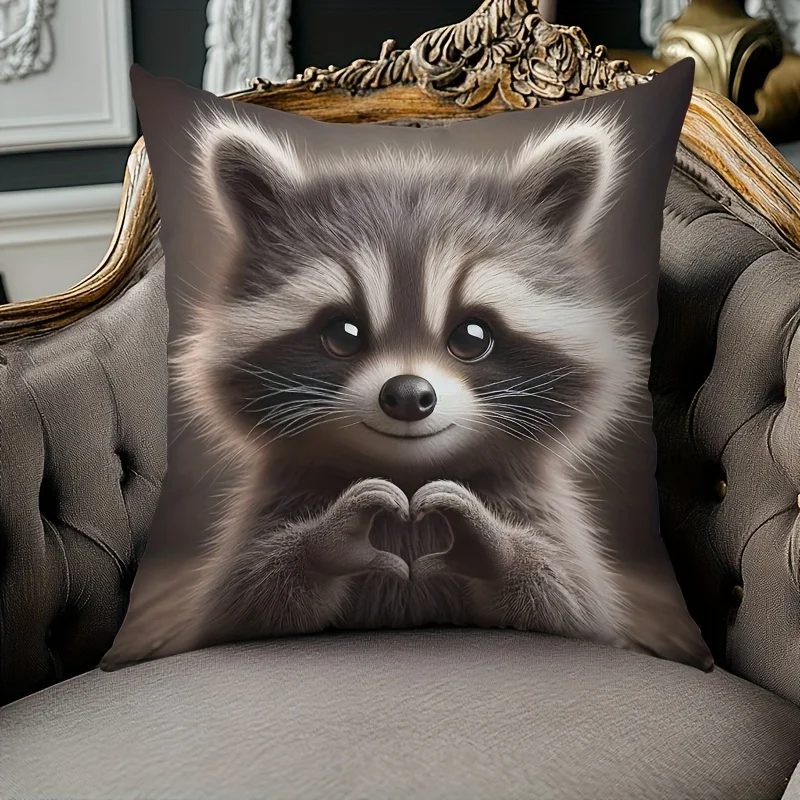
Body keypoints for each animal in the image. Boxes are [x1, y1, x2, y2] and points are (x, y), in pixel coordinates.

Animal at [148, 107, 673, 662]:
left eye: (471, 336)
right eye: (343, 333)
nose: (406, 394)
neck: (409, 473)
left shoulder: (538, 509)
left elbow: (565, 596)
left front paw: (493, 545)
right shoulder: (275, 507)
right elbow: (250, 596)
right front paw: (324, 541)